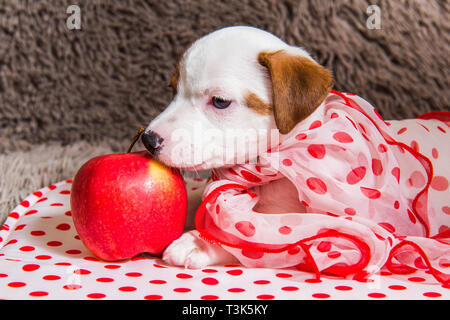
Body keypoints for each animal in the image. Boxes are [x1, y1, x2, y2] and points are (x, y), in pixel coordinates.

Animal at [142, 26, 332, 268]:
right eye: (173, 89)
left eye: (220, 101)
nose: (148, 140)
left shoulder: (290, 225)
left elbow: (239, 235)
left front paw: (199, 242)